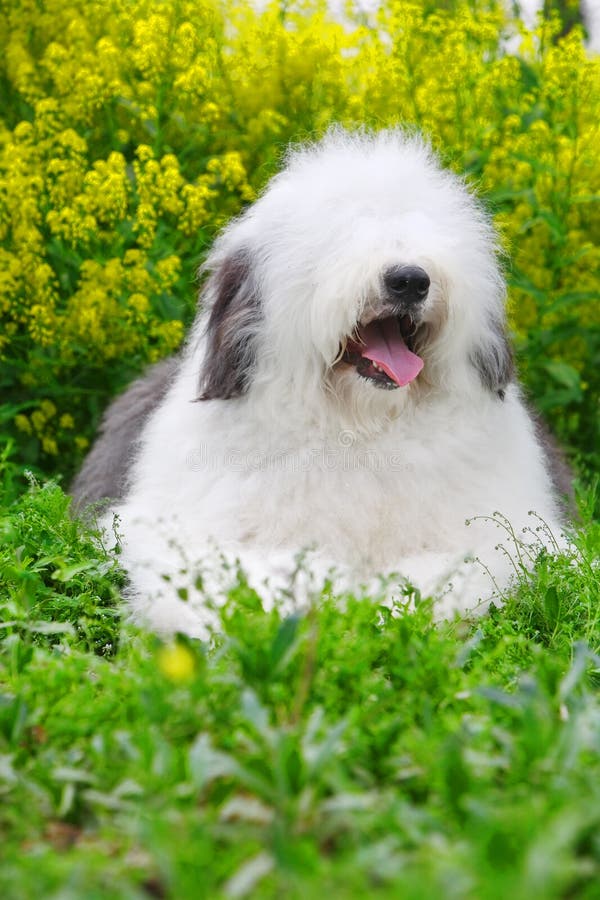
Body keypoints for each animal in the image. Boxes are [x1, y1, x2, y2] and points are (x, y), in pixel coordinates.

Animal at [72, 126, 568, 636]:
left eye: (426, 228)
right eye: (343, 233)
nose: (410, 279)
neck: (361, 429)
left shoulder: (511, 535)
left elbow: (451, 570)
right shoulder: (175, 533)